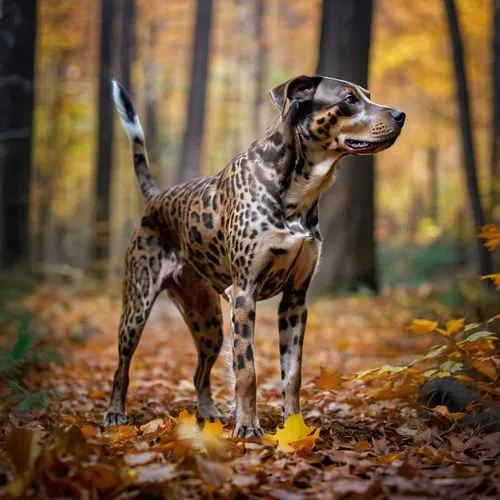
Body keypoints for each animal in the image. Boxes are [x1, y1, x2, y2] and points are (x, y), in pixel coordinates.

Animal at [103, 75, 404, 438]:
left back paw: (209, 415)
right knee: (121, 369)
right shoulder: (244, 295)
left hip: (208, 324)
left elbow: (292, 374)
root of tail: (155, 198)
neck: (295, 193)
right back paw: (115, 414)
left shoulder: (295, 301)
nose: (401, 114)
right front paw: (247, 426)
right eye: (349, 99)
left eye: (368, 95)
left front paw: (294, 427)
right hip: (136, 309)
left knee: (199, 373)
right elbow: (247, 371)